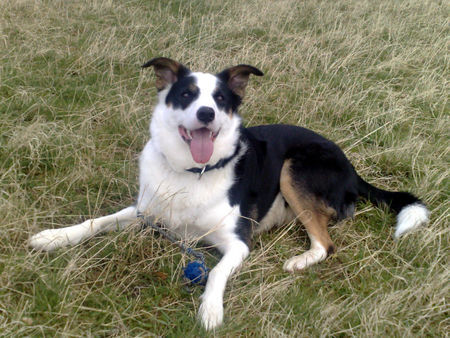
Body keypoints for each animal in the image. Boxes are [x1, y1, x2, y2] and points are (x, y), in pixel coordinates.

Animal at [28, 58, 428, 330]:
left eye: (220, 99)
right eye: (186, 94)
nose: (206, 113)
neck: (191, 173)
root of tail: (352, 169)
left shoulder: (238, 243)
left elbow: (217, 271)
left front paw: (210, 309)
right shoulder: (145, 212)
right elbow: (96, 221)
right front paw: (54, 237)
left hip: (292, 169)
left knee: (325, 243)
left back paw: (298, 261)